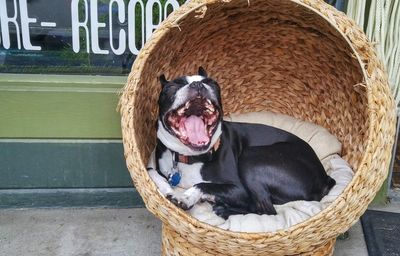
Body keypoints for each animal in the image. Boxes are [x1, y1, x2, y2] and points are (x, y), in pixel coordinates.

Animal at [147, 67, 334, 219]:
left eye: (212, 83)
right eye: (172, 87)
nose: (198, 85)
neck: (189, 157)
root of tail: (324, 178)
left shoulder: (239, 189)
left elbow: (203, 185)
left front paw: (185, 197)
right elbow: (151, 171)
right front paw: (167, 188)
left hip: (251, 158)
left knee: (266, 210)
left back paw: (224, 209)